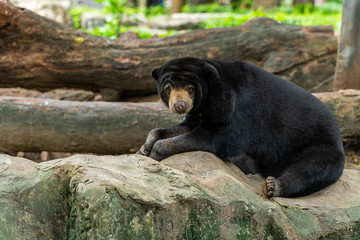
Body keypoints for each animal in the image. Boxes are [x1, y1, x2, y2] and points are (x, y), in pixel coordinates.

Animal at [136, 57, 344, 198]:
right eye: (168, 89)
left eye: (191, 89)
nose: (180, 106)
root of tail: (339, 137)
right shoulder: (200, 113)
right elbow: (183, 127)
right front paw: (144, 148)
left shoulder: (235, 108)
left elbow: (215, 138)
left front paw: (155, 153)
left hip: (320, 147)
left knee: (309, 170)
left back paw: (272, 186)